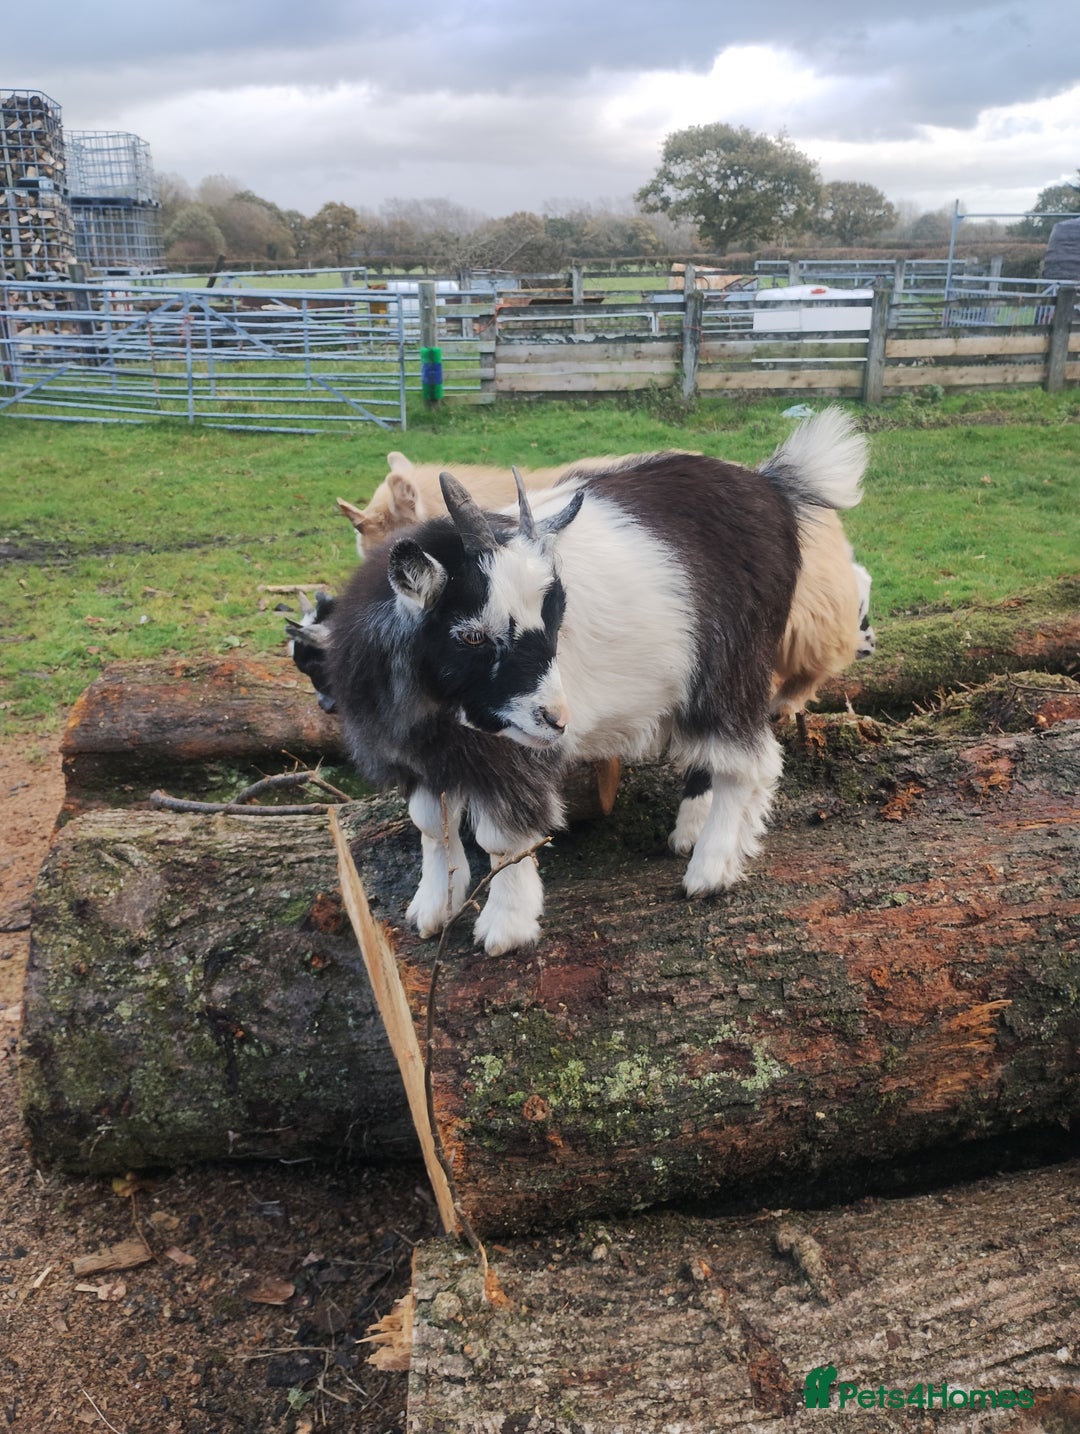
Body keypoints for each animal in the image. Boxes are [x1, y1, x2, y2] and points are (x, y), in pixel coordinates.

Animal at [320, 407, 866, 956]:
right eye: (471, 634)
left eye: (553, 619)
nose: (559, 719)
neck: (434, 710)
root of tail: (770, 487)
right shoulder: (417, 757)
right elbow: (432, 826)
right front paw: (431, 909)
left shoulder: (508, 759)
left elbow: (502, 840)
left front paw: (505, 928)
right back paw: (696, 831)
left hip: (731, 667)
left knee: (749, 762)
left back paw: (711, 870)